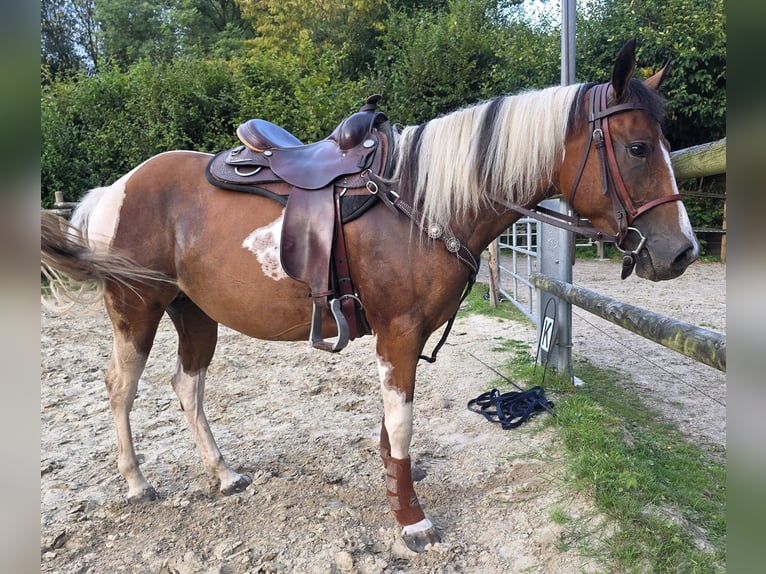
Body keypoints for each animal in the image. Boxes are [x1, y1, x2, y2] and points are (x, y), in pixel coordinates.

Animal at [41, 40, 698, 553]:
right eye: (638, 147)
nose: (682, 252)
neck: (421, 200)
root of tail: (115, 189)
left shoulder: (404, 336)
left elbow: (392, 425)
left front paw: (395, 484)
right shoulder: (399, 333)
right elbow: (402, 423)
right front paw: (412, 520)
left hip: (195, 313)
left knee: (186, 386)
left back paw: (223, 474)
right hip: (137, 311)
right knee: (120, 388)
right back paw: (136, 482)